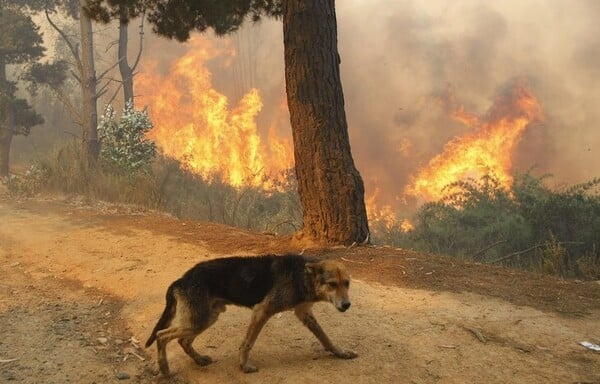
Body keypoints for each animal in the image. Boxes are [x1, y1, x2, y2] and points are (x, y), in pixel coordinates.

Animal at [146, 255, 356, 376]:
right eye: (332, 284)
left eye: (347, 283)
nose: (346, 305)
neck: (302, 275)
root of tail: (181, 280)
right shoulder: (262, 311)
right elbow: (247, 343)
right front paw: (244, 366)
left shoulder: (305, 313)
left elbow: (325, 338)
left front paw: (340, 353)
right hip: (197, 320)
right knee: (161, 335)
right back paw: (165, 370)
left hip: (206, 318)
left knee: (183, 341)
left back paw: (198, 360)